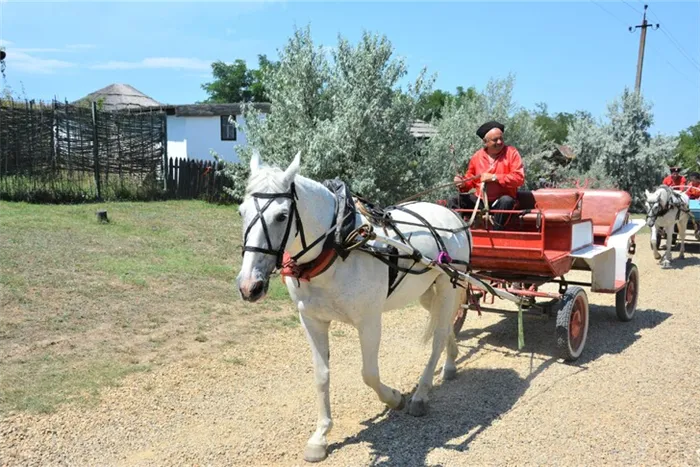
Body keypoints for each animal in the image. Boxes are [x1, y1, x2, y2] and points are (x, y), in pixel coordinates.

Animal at [238, 152, 474, 462]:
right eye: (241, 212)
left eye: (281, 216)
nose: (249, 285)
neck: (340, 244)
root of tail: (452, 216)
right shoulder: (311, 320)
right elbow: (321, 375)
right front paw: (320, 436)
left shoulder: (370, 321)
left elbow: (369, 374)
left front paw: (395, 398)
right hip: (427, 291)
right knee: (444, 327)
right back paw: (451, 363)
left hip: (449, 286)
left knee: (437, 338)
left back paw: (421, 394)